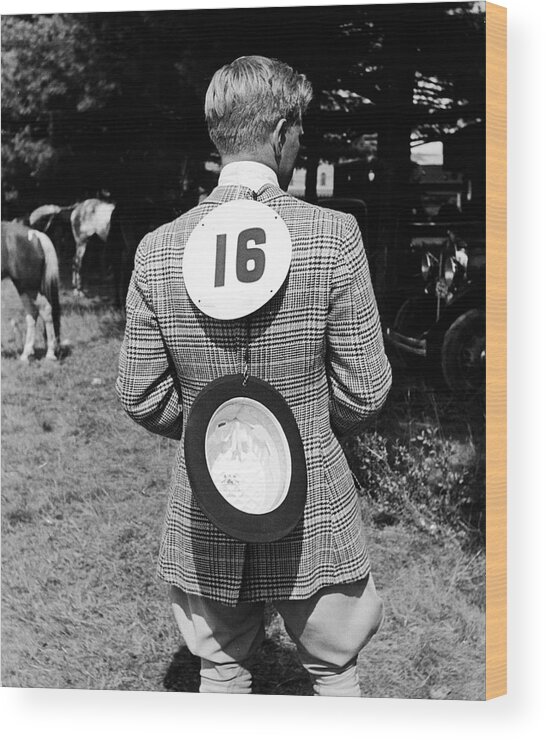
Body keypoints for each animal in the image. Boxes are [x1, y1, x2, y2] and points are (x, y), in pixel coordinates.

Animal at [1, 220, 60, 362]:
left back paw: (50, 354)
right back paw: (26, 354)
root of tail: (35, 235)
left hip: (29, 286)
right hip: (23, 287)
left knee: (45, 309)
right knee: (32, 312)